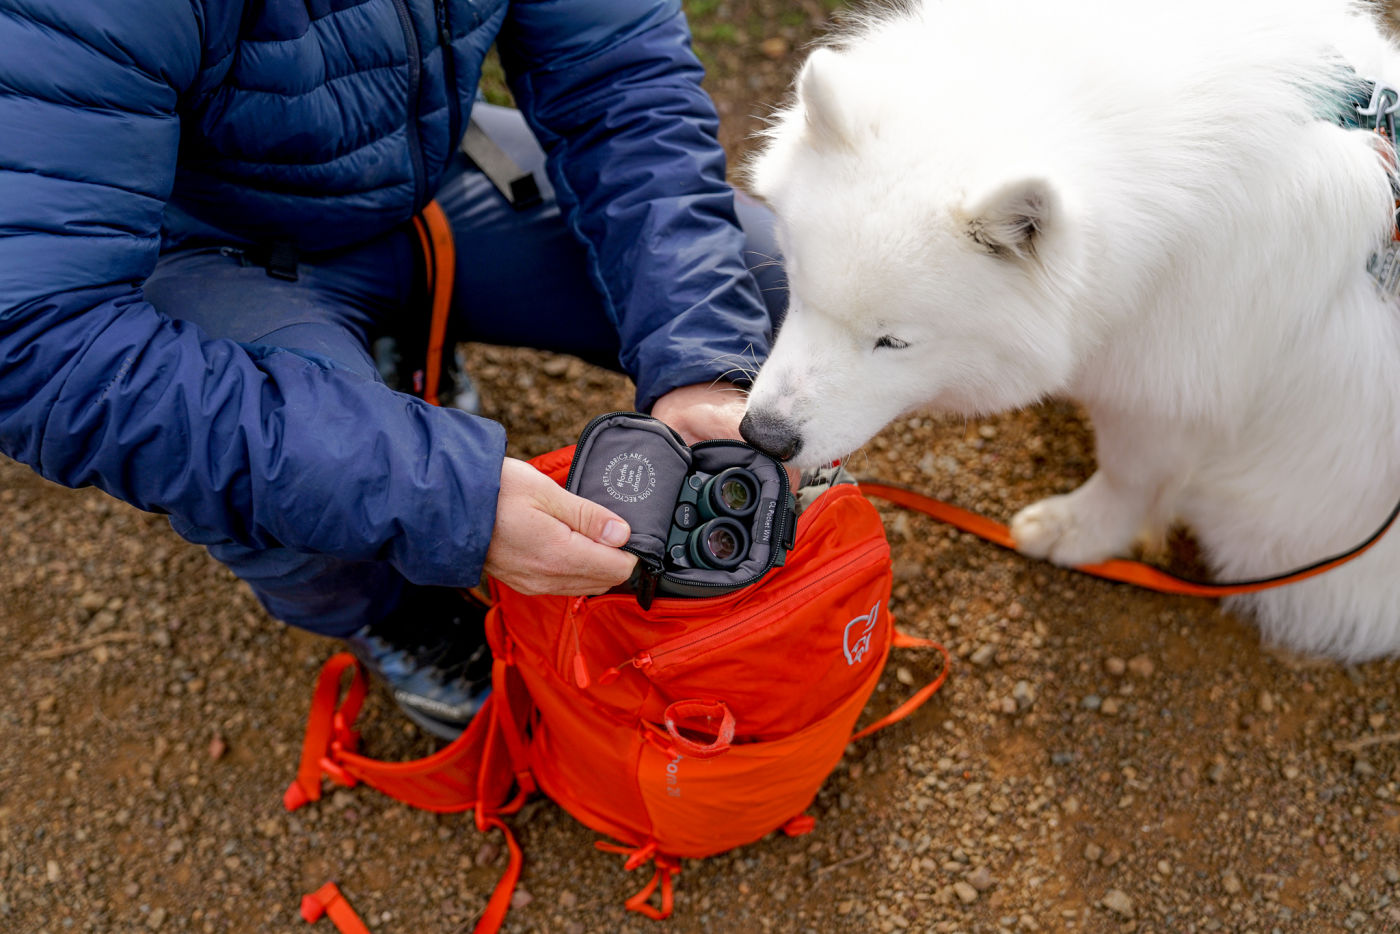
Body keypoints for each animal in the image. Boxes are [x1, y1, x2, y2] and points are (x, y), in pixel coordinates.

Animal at [750, 0, 1400, 660]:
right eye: (798, 288)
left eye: (894, 342)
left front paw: (1077, 532)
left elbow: (1128, 477)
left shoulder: (1170, 392)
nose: (762, 436)